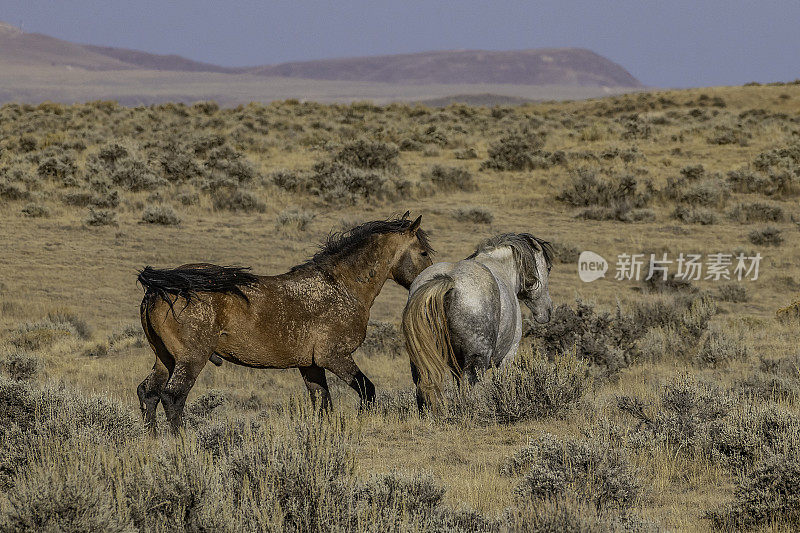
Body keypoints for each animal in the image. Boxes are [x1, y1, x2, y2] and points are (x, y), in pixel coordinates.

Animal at [136, 212, 432, 432]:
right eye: (423, 253)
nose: (426, 279)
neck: (341, 287)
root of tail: (157, 290)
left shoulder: (311, 366)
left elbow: (323, 404)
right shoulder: (334, 357)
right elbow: (366, 390)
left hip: (164, 359)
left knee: (148, 393)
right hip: (191, 359)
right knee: (173, 397)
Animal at [404, 232, 552, 408]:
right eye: (548, 268)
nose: (547, 312)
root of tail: (450, 280)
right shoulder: (508, 356)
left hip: (421, 362)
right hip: (476, 359)